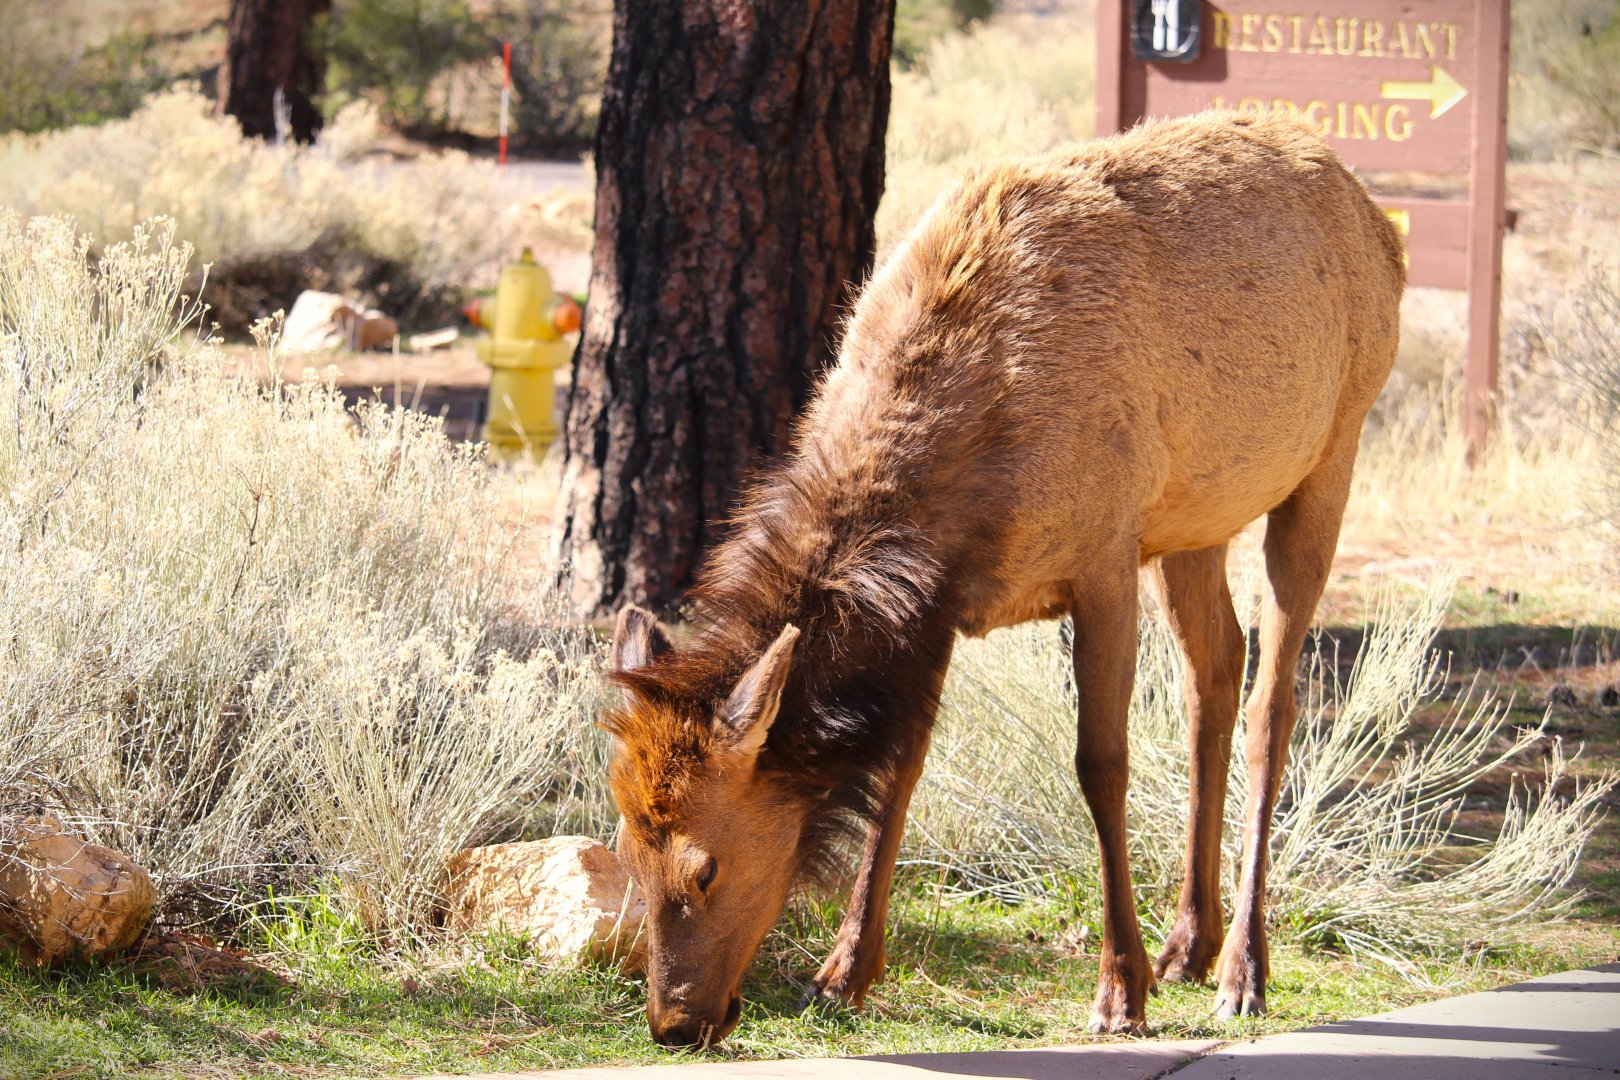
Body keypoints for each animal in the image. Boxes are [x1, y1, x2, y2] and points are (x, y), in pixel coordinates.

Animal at [602, 110, 1403, 1047]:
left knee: (1273, 702)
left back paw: (1242, 971)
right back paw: (1189, 945)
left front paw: (1118, 990)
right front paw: (843, 974)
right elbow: (902, 767)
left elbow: (1101, 763)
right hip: (1192, 522)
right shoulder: (940, 605)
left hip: (1333, 450)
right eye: (627, 849)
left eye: (706, 868)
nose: (672, 1021)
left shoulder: (1103, 552)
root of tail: (1378, 220)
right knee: (1216, 667)